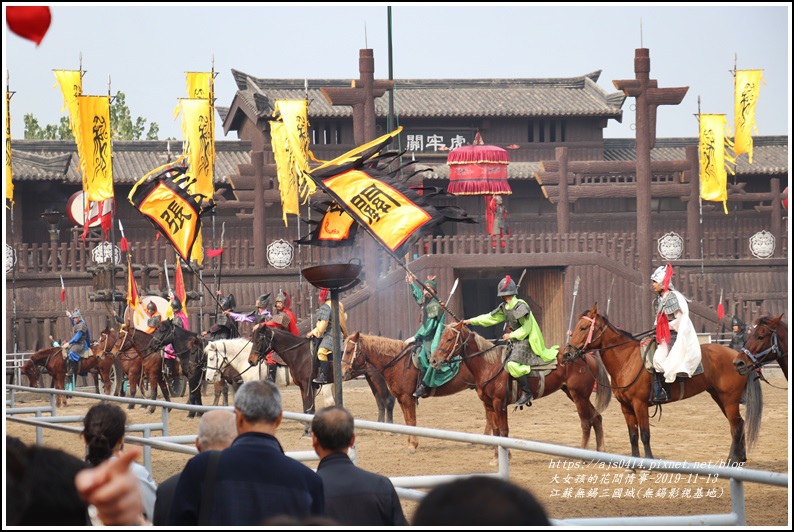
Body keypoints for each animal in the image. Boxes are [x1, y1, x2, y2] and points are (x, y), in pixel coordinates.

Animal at [249, 324, 394, 436]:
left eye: (259, 340)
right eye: (252, 338)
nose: (251, 360)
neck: (299, 353)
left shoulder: (307, 385)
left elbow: (309, 408)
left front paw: (308, 431)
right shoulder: (304, 387)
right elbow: (307, 408)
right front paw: (307, 430)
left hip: (377, 378)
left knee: (387, 400)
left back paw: (389, 428)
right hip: (370, 378)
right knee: (379, 401)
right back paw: (379, 427)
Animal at [342, 330, 496, 450]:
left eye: (348, 351)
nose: (343, 373)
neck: (399, 363)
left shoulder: (407, 397)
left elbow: (411, 420)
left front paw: (413, 445)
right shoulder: (401, 399)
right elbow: (407, 421)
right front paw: (410, 443)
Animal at [426, 322, 608, 450]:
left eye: (450, 339)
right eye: (441, 338)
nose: (433, 361)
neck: (489, 365)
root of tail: (585, 356)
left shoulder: (500, 404)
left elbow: (503, 432)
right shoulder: (489, 405)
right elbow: (496, 431)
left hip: (579, 396)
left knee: (586, 422)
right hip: (574, 394)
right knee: (597, 417)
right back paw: (600, 451)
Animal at [564, 306, 760, 464]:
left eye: (583, 327)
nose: (567, 354)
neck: (626, 359)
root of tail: (737, 356)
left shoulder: (640, 404)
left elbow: (645, 434)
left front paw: (649, 461)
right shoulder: (626, 407)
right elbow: (633, 436)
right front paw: (634, 462)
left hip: (729, 400)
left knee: (736, 427)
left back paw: (731, 461)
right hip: (720, 398)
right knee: (739, 424)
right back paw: (740, 458)